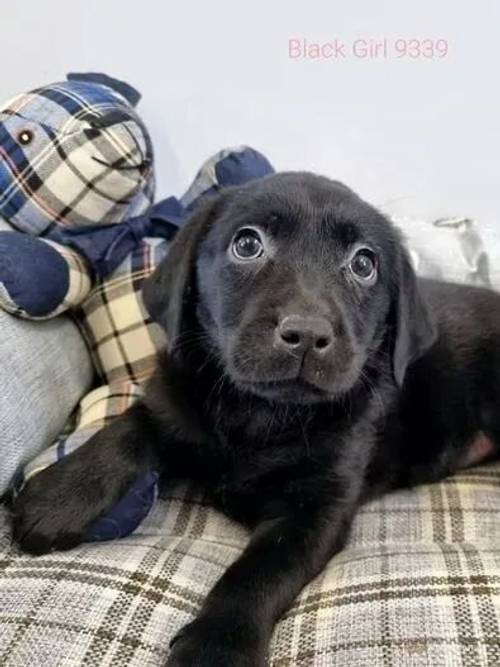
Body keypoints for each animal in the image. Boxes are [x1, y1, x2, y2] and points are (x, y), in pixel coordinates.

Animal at [7, 174, 500, 667]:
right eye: (247, 244)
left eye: (364, 264)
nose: (308, 334)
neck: (262, 413)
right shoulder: (175, 398)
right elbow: (132, 427)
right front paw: (59, 496)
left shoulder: (316, 509)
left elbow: (258, 572)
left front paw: (216, 646)